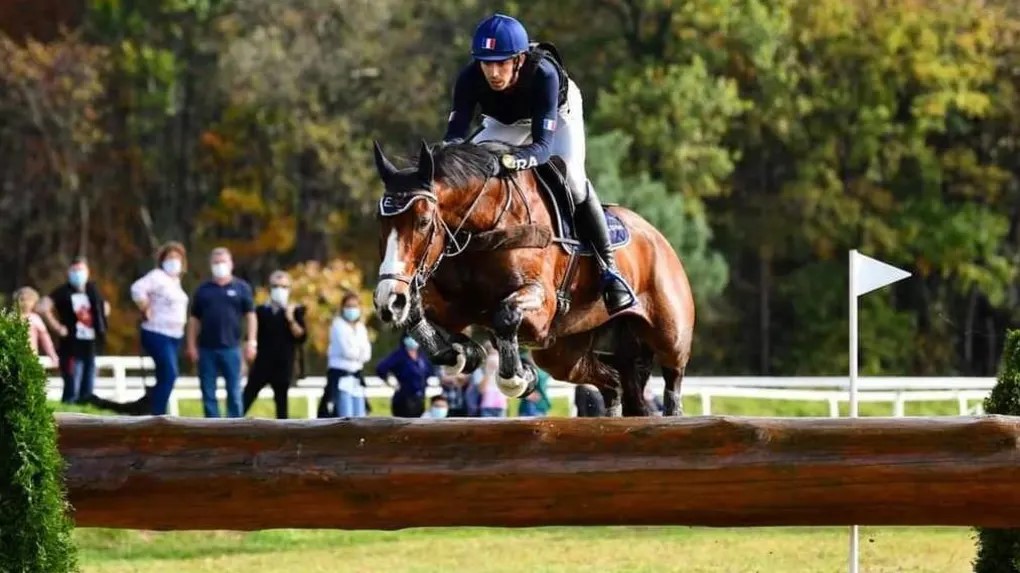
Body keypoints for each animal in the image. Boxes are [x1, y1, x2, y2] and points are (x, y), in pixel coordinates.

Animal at [371, 138, 697, 413]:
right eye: (381, 223)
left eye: (424, 222)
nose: (389, 301)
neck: (484, 227)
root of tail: (658, 238)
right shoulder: (458, 308)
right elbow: (421, 317)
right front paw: (464, 354)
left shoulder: (540, 306)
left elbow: (505, 315)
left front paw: (518, 378)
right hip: (563, 355)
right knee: (614, 384)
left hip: (670, 338)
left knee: (672, 385)